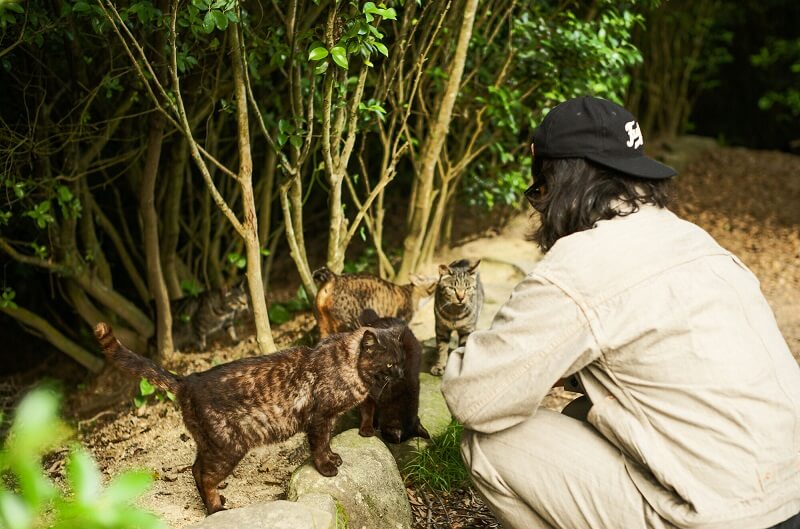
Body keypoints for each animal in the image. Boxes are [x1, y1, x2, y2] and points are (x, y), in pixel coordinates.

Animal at [95, 320, 406, 512]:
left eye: (401, 361)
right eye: (391, 364)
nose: (403, 374)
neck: (350, 367)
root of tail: (187, 381)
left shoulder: (328, 420)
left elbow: (327, 442)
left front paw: (333, 458)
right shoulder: (319, 419)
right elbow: (318, 446)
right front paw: (326, 468)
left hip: (209, 443)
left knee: (195, 469)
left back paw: (214, 504)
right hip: (228, 447)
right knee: (205, 476)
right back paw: (216, 509)